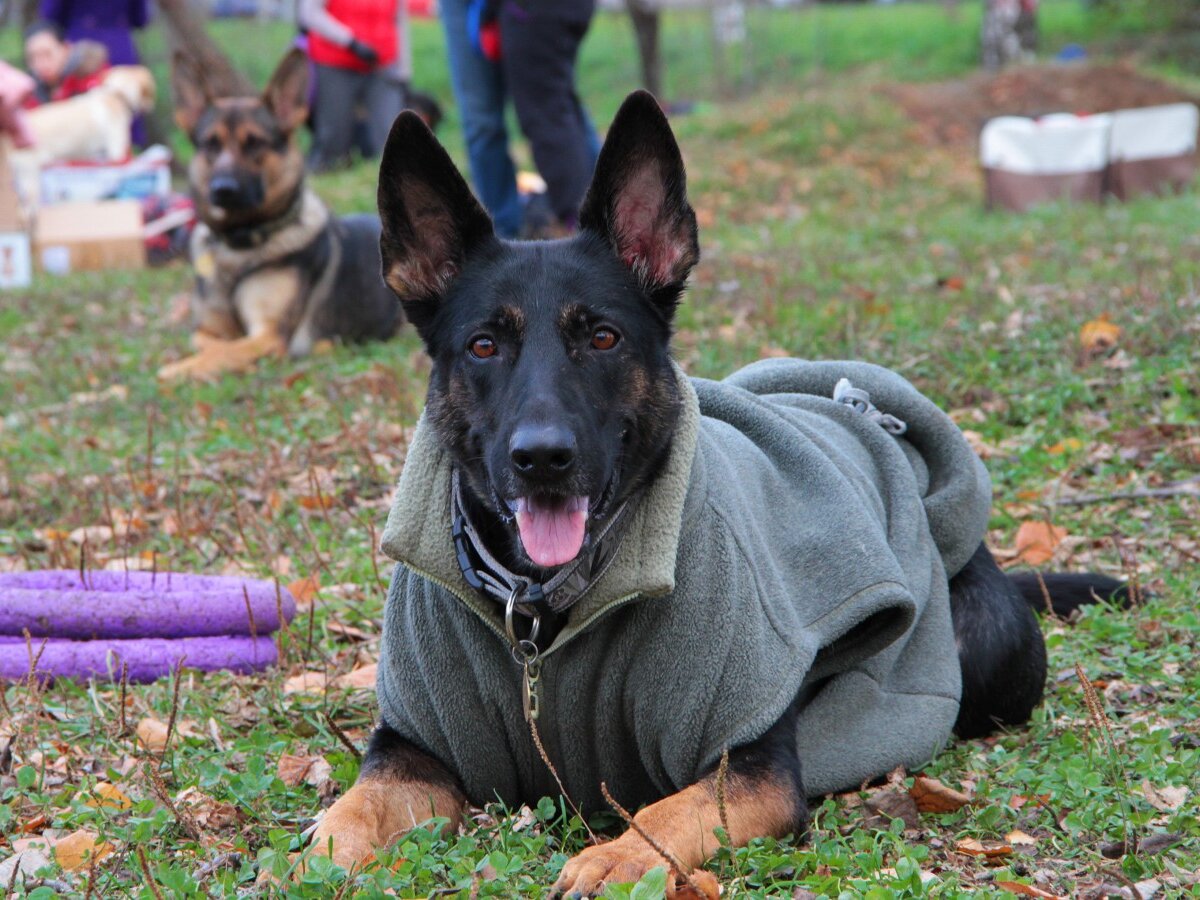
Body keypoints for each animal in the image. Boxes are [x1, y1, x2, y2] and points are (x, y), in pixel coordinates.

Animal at [307, 90, 1123, 897]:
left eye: (602, 338)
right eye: (483, 345)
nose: (543, 459)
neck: (543, 612)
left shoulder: (753, 768)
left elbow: (666, 811)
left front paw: (616, 857)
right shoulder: (410, 749)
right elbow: (359, 803)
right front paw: (324, 847)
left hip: (983, 647)